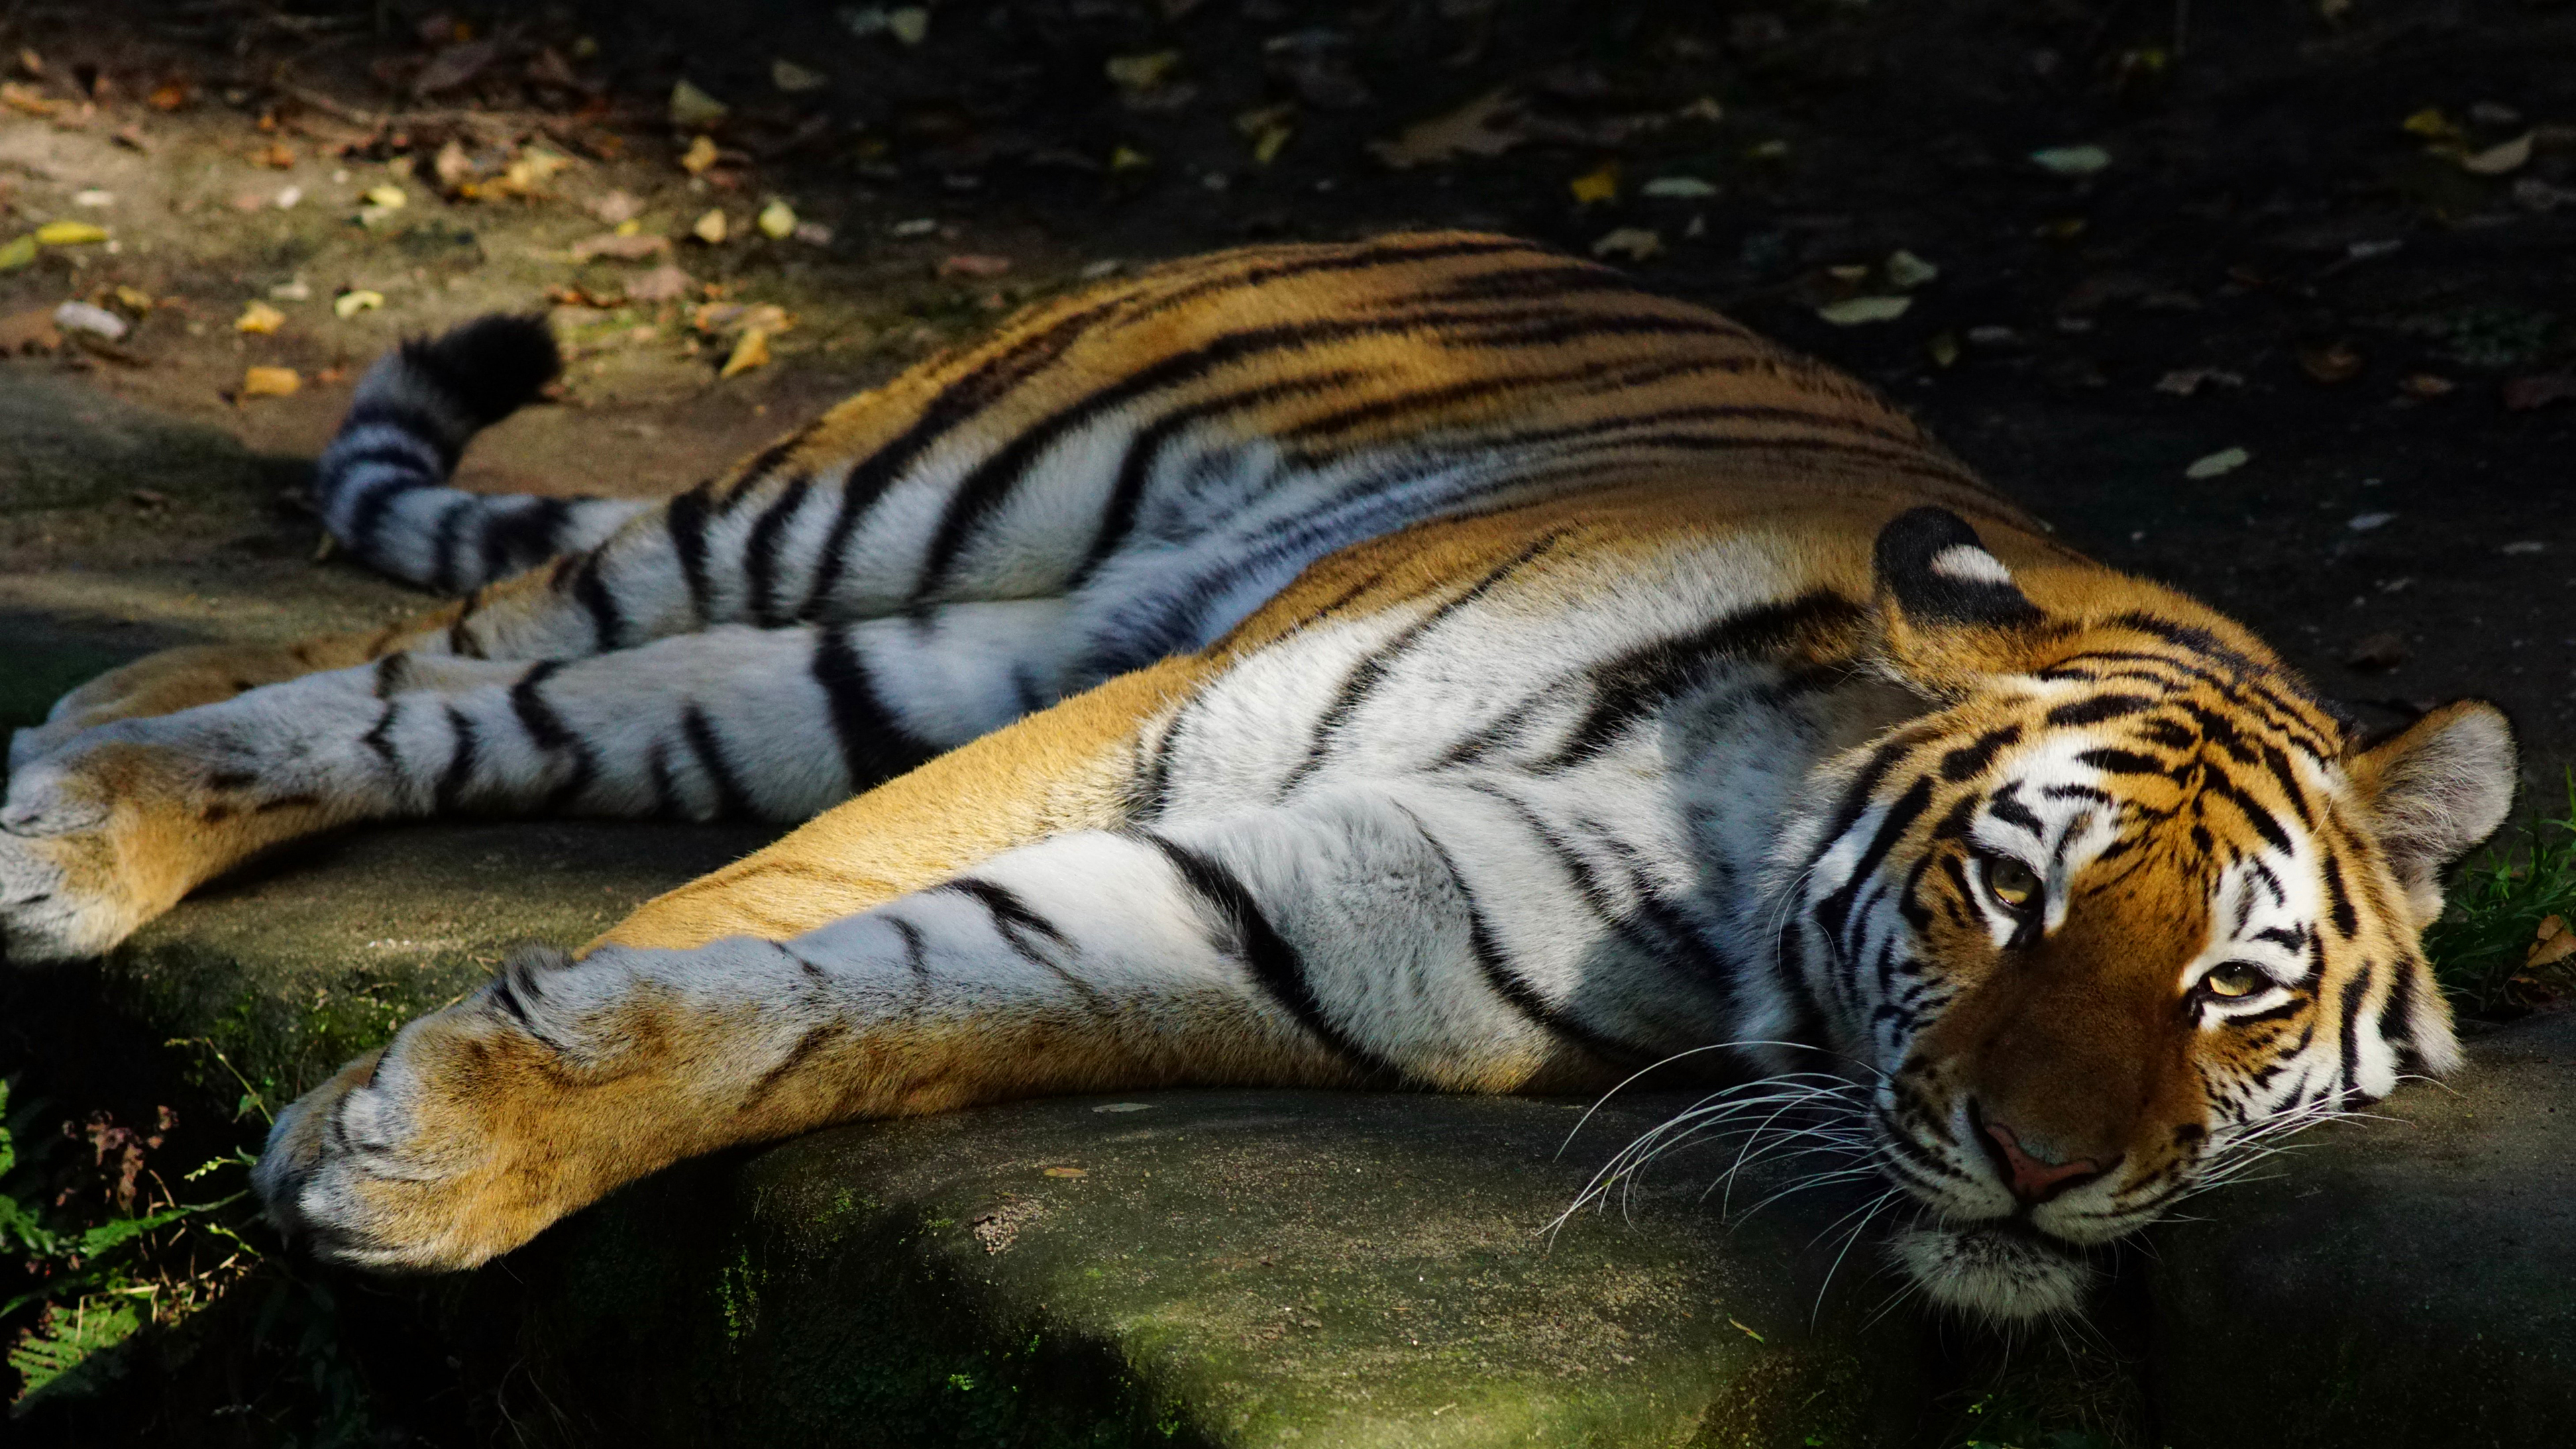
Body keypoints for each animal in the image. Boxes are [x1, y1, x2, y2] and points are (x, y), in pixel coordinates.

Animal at [0, 234, 2493, 1320]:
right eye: (2007, 889)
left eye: (2233, 992)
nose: (2041, 1171)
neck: (1733, 850)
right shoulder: (1166, 716)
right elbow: (738, 919)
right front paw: (403, 1117)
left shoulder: (1300, 910)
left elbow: (862, 992)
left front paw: (448, 1139)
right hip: (897, 503)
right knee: (464, 632)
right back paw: (76, 799)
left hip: (903, 648)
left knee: (498, 690)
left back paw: (94, 770)